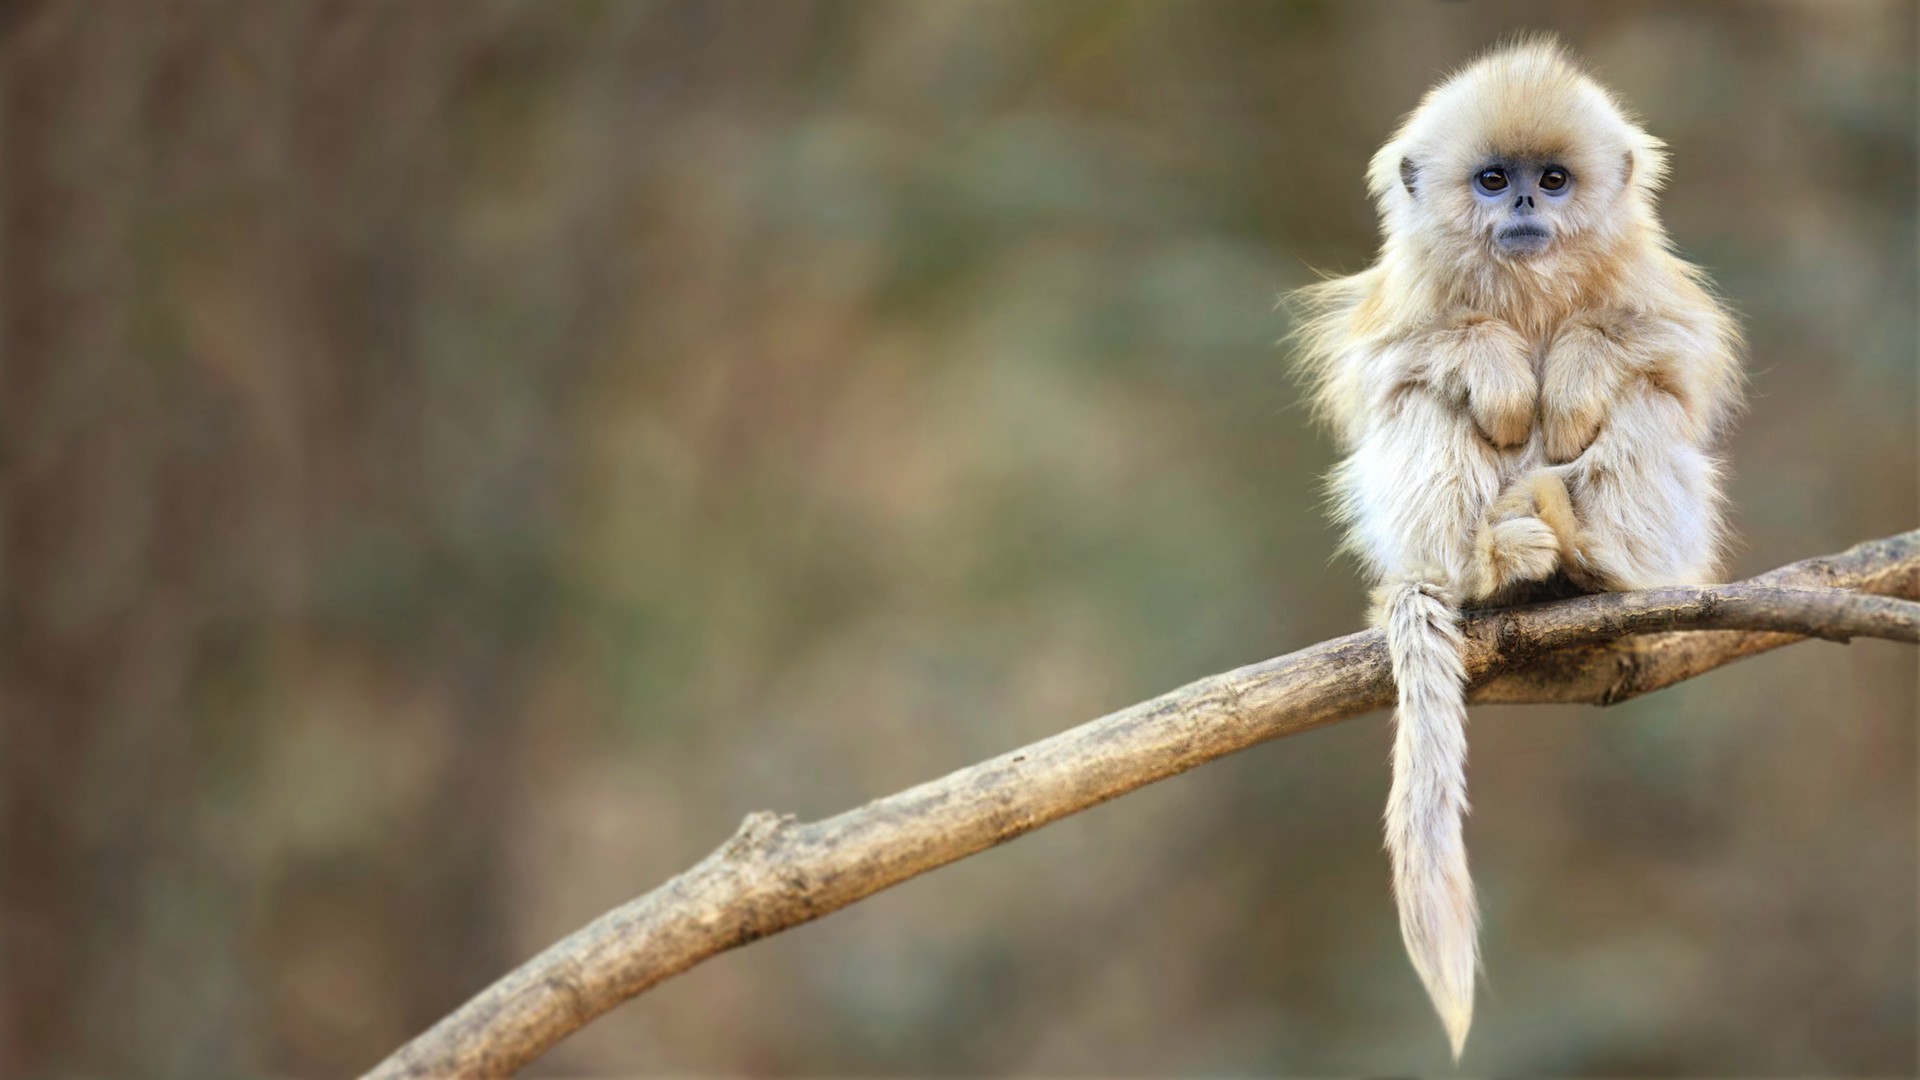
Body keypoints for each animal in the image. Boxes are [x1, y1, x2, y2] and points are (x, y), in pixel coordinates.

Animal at [1290, 39, 1742, 1059]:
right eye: (1493, 180)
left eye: (1554, 179)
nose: (1526, 204)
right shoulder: (1400, 304)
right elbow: (1400, 365)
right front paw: (1497, 368)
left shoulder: (1651, 289)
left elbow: (1669, 356)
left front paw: (1570, 375)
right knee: (1423, 404)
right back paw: (1492, 568)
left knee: (1642, 404)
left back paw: (1592, 561)